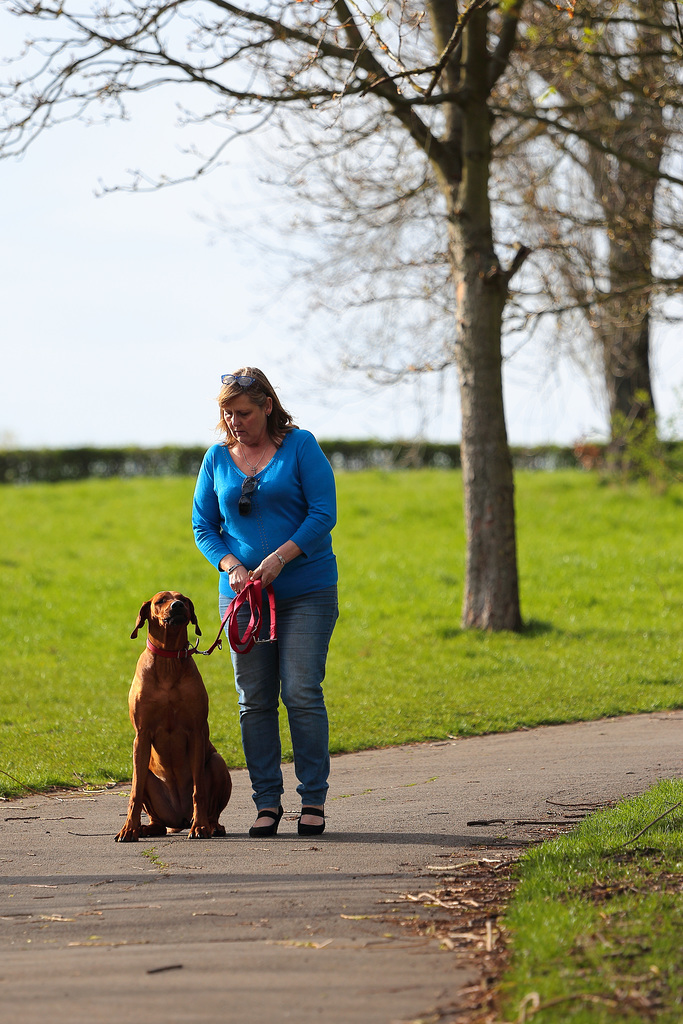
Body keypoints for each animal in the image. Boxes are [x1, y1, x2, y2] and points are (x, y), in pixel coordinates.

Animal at [115, 589, 232, 843]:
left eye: (184, 599)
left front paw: (199, 827)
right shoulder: (141, 735)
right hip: (149, 779)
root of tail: (179, 819)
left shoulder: (196, 732)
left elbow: (199, 791)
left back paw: (211, 825)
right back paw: (146, 828)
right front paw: (128, 828)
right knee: (153, 811)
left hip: (217, 763)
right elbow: (134, 792)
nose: (177, 606)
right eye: (160, 600)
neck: (168, 659)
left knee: (211, 806)